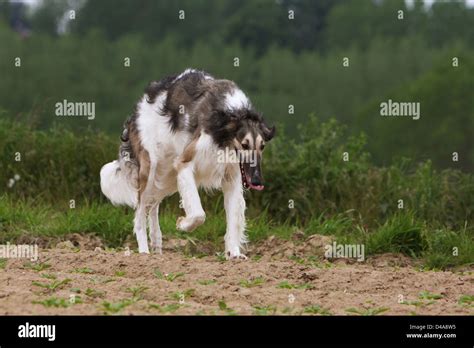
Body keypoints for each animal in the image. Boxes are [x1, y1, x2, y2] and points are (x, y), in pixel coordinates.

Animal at [100, 68, 274, 258]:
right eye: (245, 144)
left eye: (262, 146)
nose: (257, 181)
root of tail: (138, 107)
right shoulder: (185, 164)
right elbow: (199, 214)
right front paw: (183, 224)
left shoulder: (231, 177)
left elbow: (234, 220)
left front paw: (234, 253)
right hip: (151, 169)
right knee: (140, 214)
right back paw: (145, 252)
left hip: (167, 176)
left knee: (152, 205)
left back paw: (157, 246)